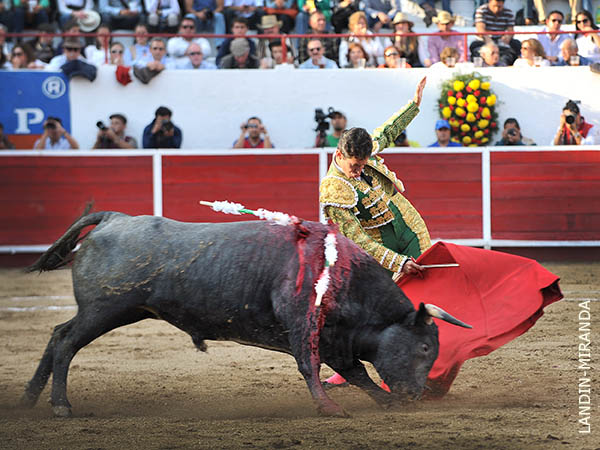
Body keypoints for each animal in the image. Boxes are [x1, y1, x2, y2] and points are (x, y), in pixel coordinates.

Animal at [21, 210, 470, 418]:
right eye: (425, 347)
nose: (417, 395)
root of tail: (115, 218)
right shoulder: (304, 326)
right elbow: (311, 367)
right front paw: (329, 408)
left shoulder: (334, 340)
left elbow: (356, 372)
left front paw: (384, 401)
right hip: (105, 309)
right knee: (66, 341)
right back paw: (60, 405)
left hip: (119, 311)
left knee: (57, 333)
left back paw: (29, 398)